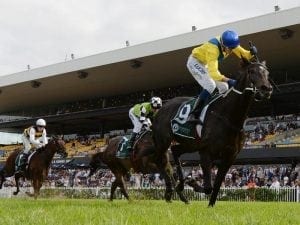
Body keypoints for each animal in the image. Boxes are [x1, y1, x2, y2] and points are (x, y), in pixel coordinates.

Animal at [154, 59, 274, 207]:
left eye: (267, 72)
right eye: (251, 71)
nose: (266, 89)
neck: (228, 116)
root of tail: (161, 108)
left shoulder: (229, 157)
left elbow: (216, 185)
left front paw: (210, 205)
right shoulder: (206, 152)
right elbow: (208, 187)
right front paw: (193, 182)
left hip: (190, 144)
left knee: (175, 151)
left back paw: (181, 191)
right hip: (163, 142)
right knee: (160, 161)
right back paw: (170, 190)